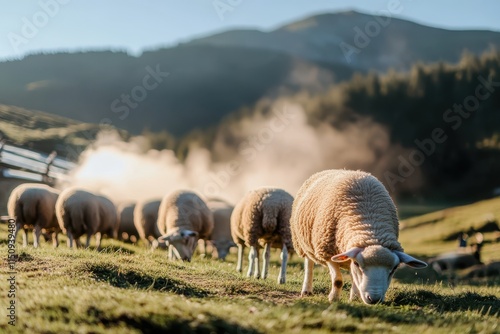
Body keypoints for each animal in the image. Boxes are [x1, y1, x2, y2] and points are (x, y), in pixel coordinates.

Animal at [292, 171, 428, 304]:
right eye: (358, 264)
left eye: (394, 269)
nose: (374, 299)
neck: (370, 227)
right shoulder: (327, 251)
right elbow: (337, 280)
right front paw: (333, 298)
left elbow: (355, 281)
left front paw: (354, 298)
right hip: (303, 243)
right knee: (309, 264)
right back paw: (306, 290)